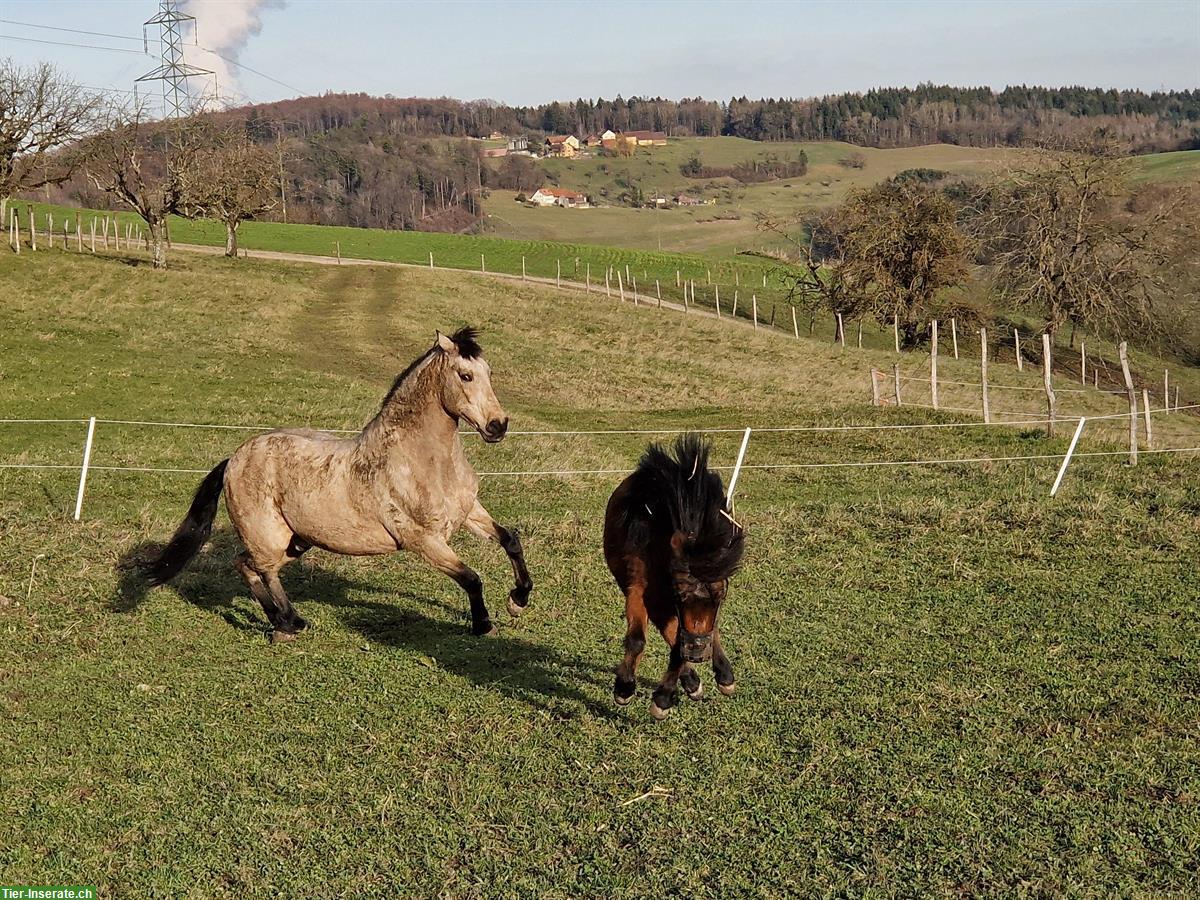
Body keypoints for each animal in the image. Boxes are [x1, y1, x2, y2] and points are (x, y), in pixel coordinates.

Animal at [142, 328, 532, 643]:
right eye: (465, 375)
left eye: (489, 374)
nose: (497, 426)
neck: (421, 461)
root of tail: (234, 459)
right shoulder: (425, 541)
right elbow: (471, 577)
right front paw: (483, 624)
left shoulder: (468, 512)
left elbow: (510, 539)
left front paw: (518, 600)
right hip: (270, 536)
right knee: (261, 569)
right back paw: (291, 623)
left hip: (294, 542)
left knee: (247, 565)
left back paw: (283, 623)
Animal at [604, 434, 744, 724]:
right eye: (681, 594)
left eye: (721, 596)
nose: (697, 651)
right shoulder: (640, 590)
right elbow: (637, 639)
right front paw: (624, 688)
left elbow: (697, 634)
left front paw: (663, 697)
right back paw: (692, 681)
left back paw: (715, 676)